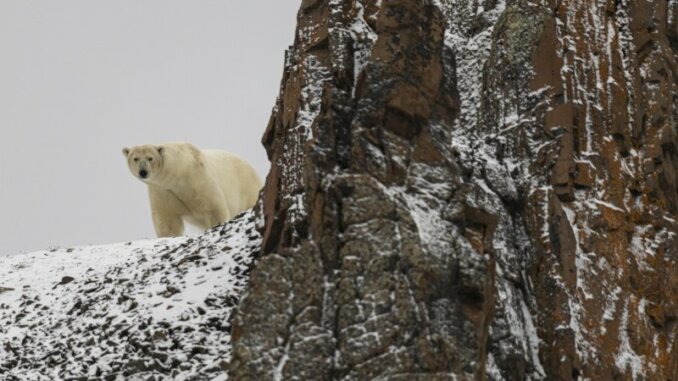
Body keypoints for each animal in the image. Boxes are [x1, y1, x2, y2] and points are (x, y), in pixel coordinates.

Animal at [122, 142, 262, 236]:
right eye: (135, 158)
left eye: (150, 158)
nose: (143, 172)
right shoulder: (162, 190)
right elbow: (167, 218)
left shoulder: (198, 178)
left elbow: (213, 207)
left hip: (247, 187)